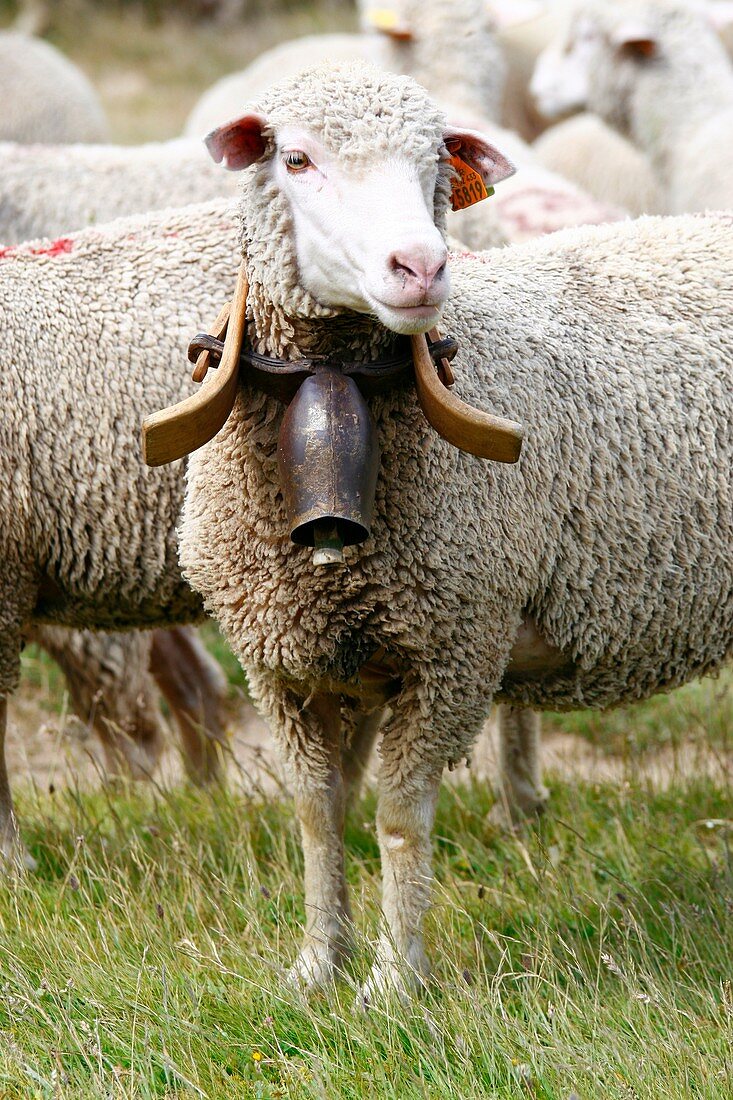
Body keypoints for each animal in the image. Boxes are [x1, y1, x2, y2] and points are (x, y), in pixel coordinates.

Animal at [165, 64, 726, 1003]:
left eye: (436, 164)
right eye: (295, 159)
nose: (420, 265)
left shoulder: (453, 646)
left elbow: (398, 817)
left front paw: (395, 982)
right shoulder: (286, 661)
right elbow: (317, 814)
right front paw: (316, 967)